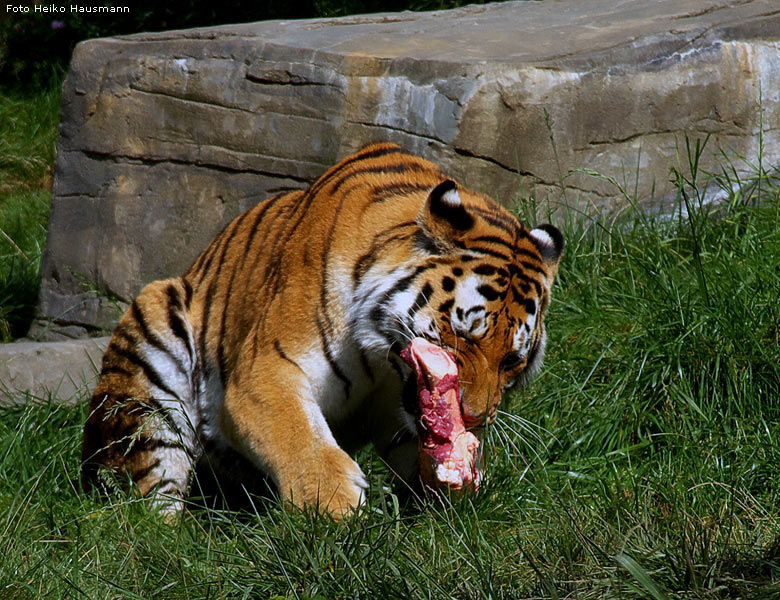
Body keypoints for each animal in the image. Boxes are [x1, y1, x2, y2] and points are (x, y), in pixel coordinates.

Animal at [82, 143, 564, 516]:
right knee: (149, 507)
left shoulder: (397, 415)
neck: (386, 360)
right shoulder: (265, 372)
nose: (477, 418)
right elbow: (299, 436)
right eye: (463, 336)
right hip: (153, 338)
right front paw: (336, 510)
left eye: (512, 360)